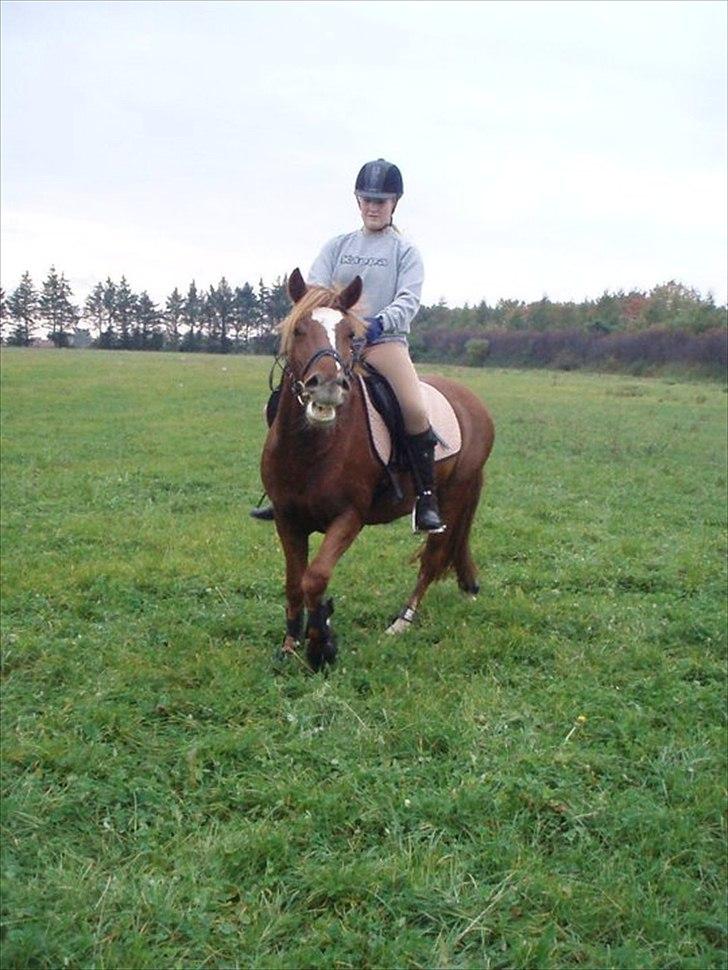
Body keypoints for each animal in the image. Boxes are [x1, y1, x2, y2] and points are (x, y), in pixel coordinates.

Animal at [260, 268, 495, 671]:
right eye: (299, 329)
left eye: (349, 334)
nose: (327, 386)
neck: (313, 449)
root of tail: (471, 402)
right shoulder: (287, 518)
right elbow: (294, 581)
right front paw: (291, 643)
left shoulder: (349, 517)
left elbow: (315, 578)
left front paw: (321, 644)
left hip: (453, 495)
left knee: (432, 557)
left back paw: (402, 621)